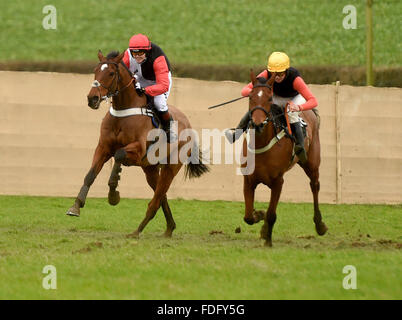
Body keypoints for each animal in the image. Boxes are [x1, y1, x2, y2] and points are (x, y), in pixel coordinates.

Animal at [66, 50, 209, 238]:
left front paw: (113, 194)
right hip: (150, 169)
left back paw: (137, 231)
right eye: (95, 70)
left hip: (170, 168)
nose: (92, 98)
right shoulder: (103, 148)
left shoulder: (138, 150)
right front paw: (76, 206)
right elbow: (90, 175)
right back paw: (169, 228)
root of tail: (189, 125)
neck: (123, 112)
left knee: (156, 199)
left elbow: (119, 155)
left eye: (111, 73)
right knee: (161, 196)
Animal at [242, 70, 326, 246]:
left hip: (312, 162)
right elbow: (248, 216)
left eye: (269, 98)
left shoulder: (278, 181)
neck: (262, 144)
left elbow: (271, 214)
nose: (258, 124)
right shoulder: (248, 179)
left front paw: (268, 241)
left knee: (314, 185)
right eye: (250, 97)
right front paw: (259, 217)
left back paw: (320, 225)